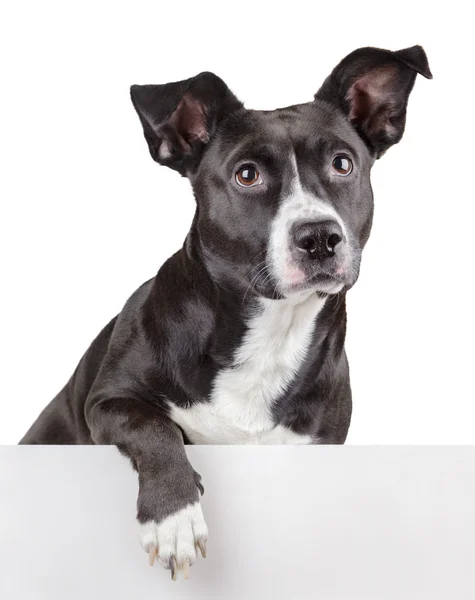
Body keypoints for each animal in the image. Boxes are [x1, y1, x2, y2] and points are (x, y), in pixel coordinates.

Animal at [20, 44, 434, 580]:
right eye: (247, 175)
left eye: (343, 164)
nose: (320, 237)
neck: (270, 329)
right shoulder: (108, 401)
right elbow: (155, 427)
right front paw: (174, 518)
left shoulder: (318, 447)